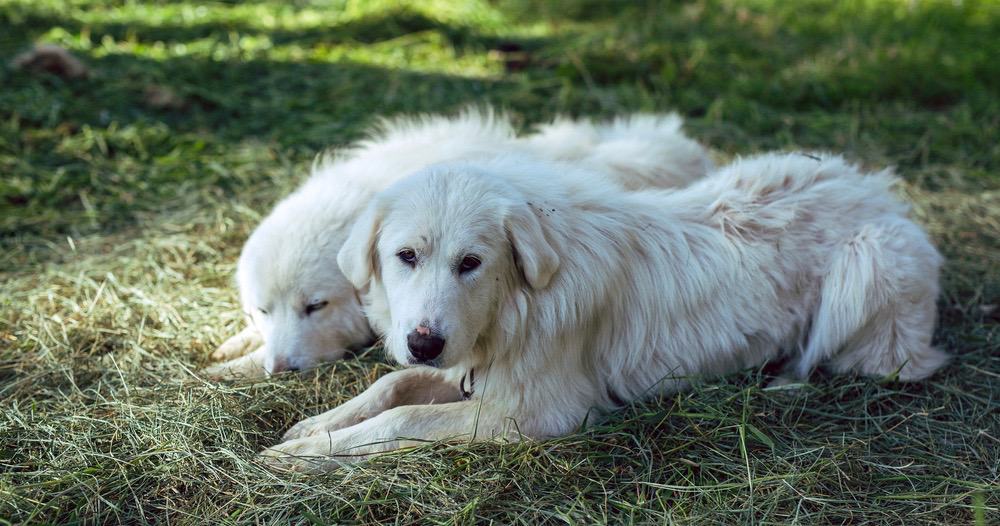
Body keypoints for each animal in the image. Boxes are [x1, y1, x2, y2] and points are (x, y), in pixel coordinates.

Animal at [258, 152, 944, 474]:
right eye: (406, 256)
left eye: (471, 262)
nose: (425, 341)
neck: (518, 305)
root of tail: (881, 191)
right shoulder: (472, 373)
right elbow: (392, 384)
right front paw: (316, 427)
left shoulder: (535, 415)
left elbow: (402, 419)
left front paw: (308, 455)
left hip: (865, 265)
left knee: (891, 365)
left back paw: (785, 378)